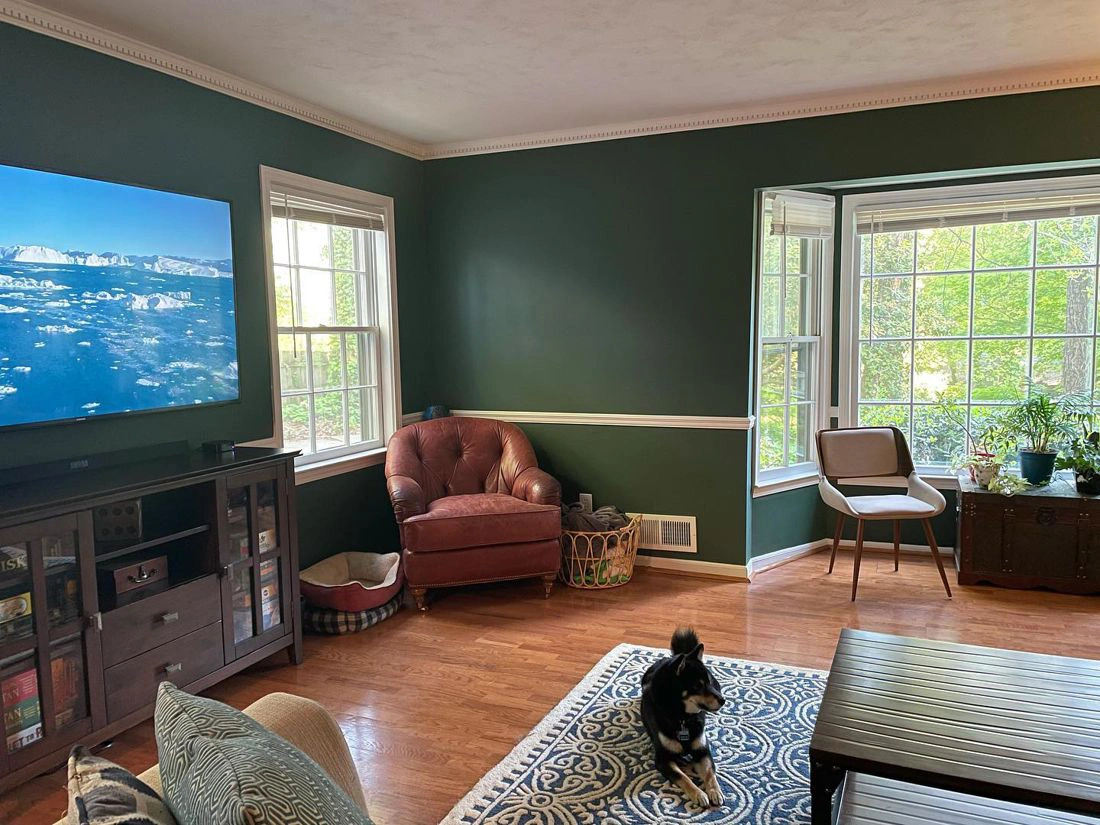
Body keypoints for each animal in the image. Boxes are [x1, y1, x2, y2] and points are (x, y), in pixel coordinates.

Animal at [642, 629, 726, 809]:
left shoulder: (702, 750)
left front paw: (715, 791)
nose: (723, 700)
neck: (683, 718)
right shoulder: (663, 758)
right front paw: (699, 794)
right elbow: (683, 777)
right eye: (698, 686)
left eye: (708, 682)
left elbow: (709, 772)